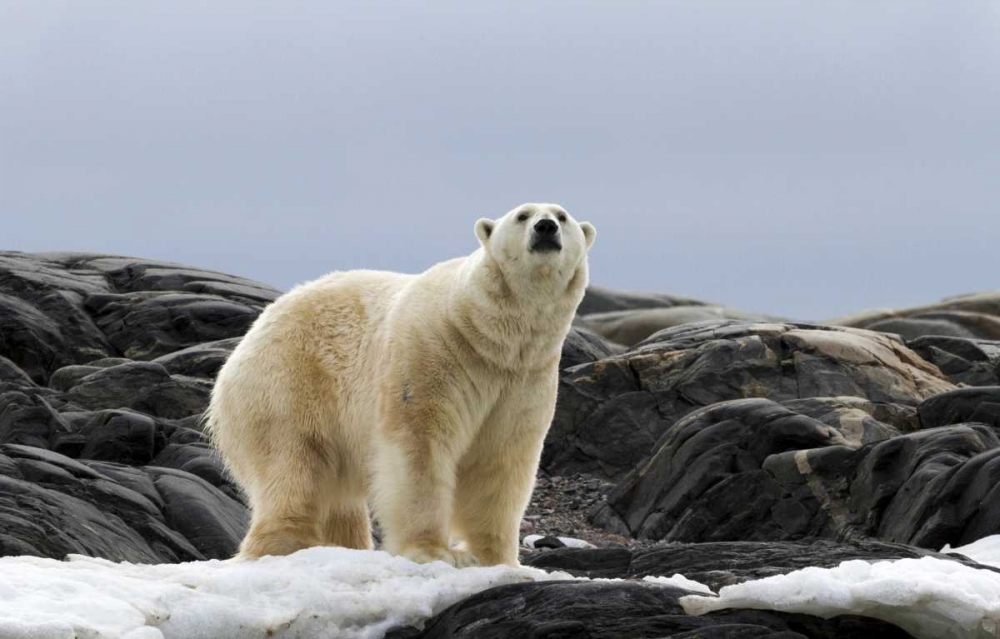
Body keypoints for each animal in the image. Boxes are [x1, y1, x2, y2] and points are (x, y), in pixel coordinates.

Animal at [206, 203, 596, 567]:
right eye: (522, 215)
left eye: (562, 216)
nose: (545, 227)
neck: (486, 333)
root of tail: (252, 333)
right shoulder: (433, 353)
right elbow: (420, 444)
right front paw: (432, 552)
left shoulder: (524, 378)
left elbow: (500, 459)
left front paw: (495, 558)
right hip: (287, 382)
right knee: (292, 464)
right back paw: (287, 543)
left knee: (338, 496)